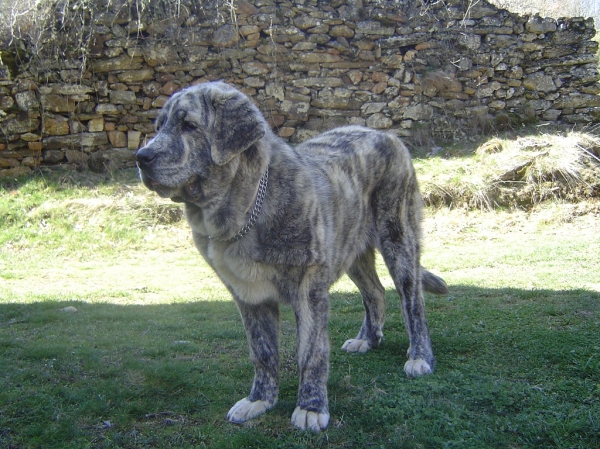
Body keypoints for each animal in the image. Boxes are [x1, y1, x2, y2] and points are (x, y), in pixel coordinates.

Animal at [135, 81, 446, 430]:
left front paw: (311, 407)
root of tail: (385, 134)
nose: (141, 157)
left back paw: (419, 356)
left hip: (399, 239)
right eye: (159, 126)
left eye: (189, 125)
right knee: (375, 292)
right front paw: (259, 400)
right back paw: (367, 339)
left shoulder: (308, 288)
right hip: (350, 250)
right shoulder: (249, 295)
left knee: (413, 301)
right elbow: (263, 351)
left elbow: (311, 352)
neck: (247, 208)